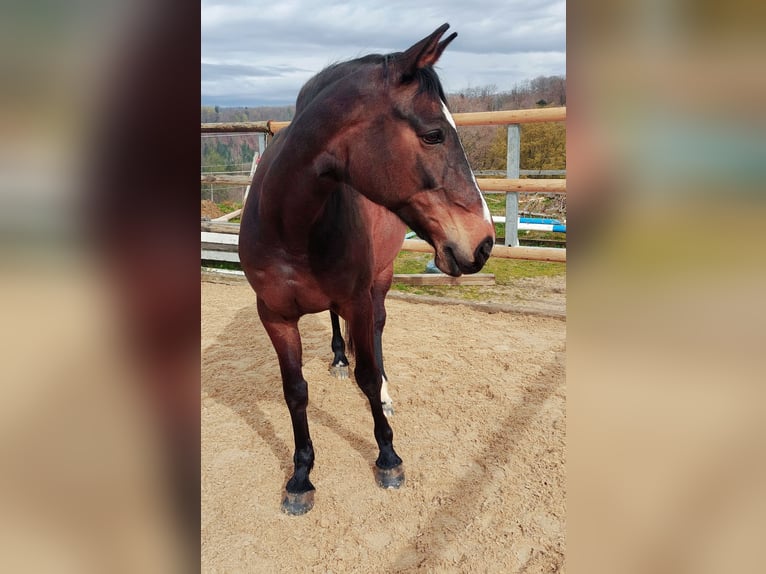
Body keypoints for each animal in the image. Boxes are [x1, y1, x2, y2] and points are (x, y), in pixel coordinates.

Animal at [238, 23, 498, 516]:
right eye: (434, 134)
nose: (484, 242)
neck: (288, 225)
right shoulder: (274, 316)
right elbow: (295, 390)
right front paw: (300, 476)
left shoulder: (358, 298)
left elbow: (369, 372)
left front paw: (388, 456)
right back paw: (341, 357)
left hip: (380, 281)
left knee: (377, 333)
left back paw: (382, 392)